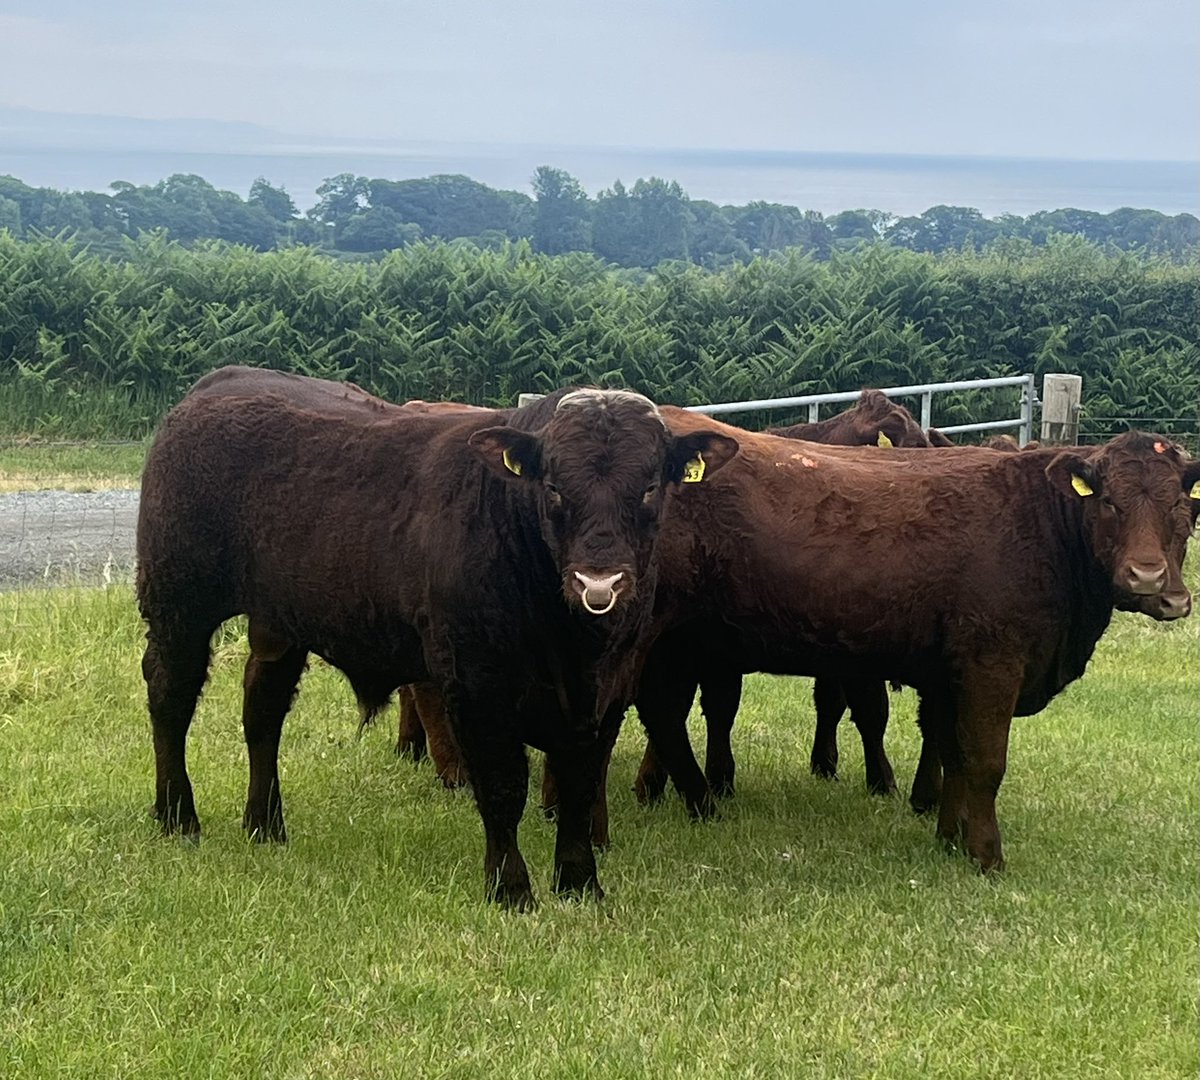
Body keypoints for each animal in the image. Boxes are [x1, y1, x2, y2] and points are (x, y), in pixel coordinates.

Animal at [136, 370, 738, 909]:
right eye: (553, 488)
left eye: (650, 488)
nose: (599, 582)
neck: (571, 643)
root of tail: (216, 385)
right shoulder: (476, 684)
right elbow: (502, 787)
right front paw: (511, 889)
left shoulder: (608, 689)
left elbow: (579, 784)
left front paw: (580, 884)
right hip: (176, 600)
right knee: (170, 696)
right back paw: (177, 816)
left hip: (278, 622)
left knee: (262, 709)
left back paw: (264, 825)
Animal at [627, 415, 1197, 870]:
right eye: (1109, 503)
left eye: (1180, 507)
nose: (1148, 578)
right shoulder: (993, 663)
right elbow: (985, 762)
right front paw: (986, 856)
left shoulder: (950, 673)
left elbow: (952, 753)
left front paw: (949, 837)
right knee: (661, 714)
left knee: (666, 716)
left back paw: (693, 799)